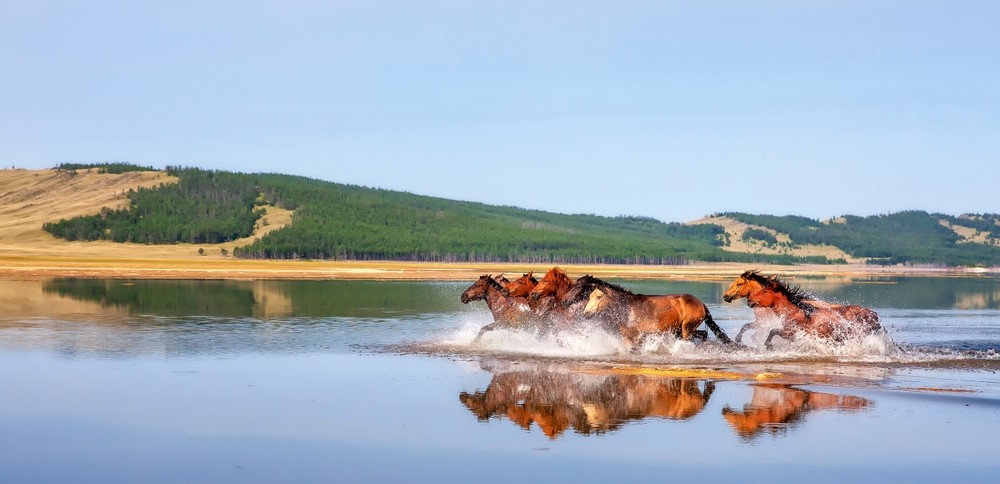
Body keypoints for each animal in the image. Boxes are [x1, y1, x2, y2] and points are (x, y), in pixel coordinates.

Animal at [569, 276, 733, 348]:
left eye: (598, 297)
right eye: (589, 296)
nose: (586, 314)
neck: (627, 310)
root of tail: (701, 303)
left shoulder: (634, 338)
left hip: (687, 329)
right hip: (681, 330)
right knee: (703, 334)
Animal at [722, 270, 882, 349]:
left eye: (739, 283)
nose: (725, 296)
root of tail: (874, 315)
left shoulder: (767, 325)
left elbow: (756, 330)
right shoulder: (762, 324)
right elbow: (747, 327)